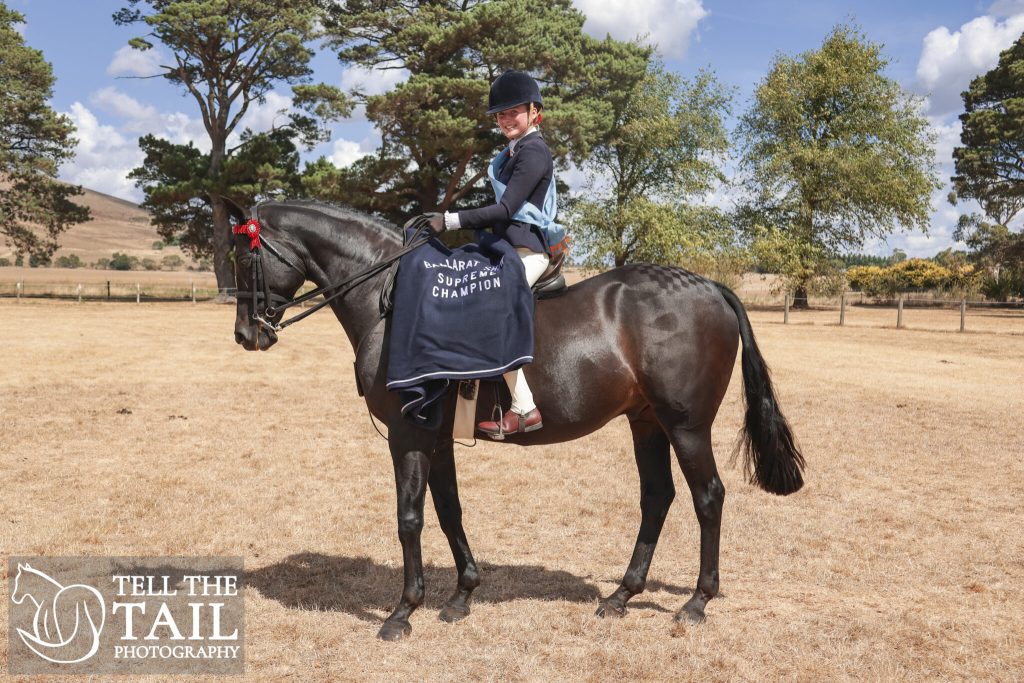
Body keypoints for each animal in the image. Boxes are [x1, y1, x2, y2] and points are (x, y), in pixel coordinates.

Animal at [231, 200, 805, 640]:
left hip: (685, 426)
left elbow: (409, 517)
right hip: (646, 422)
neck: (390, 300)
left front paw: (403, 611)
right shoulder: (437, 436)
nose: (246, 335)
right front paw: (462, 595)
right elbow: (449, 512)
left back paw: (697, 602)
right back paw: (621, 595)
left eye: (244, 255)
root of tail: (708, 286)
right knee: (657, 498)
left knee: (708, 498)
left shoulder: (408, 433)